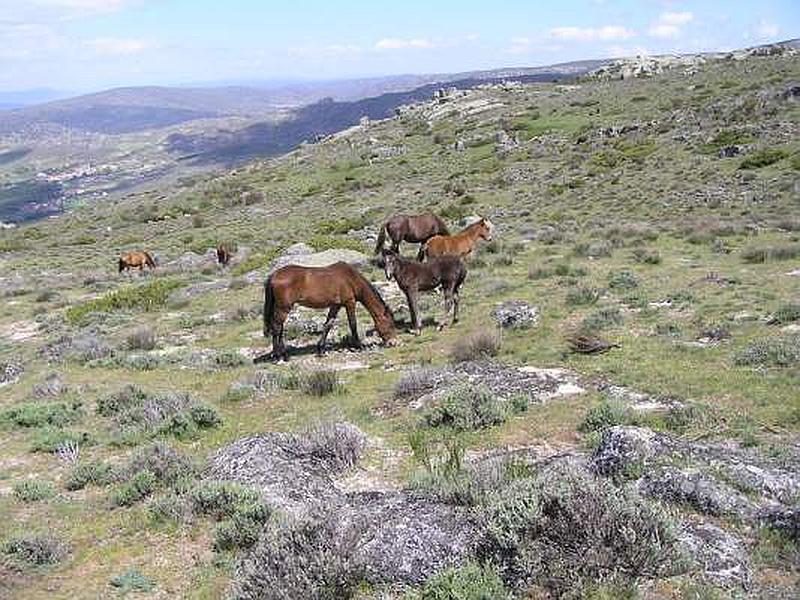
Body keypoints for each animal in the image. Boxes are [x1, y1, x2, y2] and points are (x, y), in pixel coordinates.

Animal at [264, 260, 398, 358]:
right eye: (390, 324)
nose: (393, 343)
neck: (350, 278)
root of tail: (274, 275)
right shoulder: (350, 303)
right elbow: (353, 324)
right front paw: (358, 346)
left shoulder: (335, 305)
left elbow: (328, 325)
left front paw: (321, 350)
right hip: (283, 308)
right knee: (277, 328)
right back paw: (277, 355)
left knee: (279, 328)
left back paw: (283, 354)